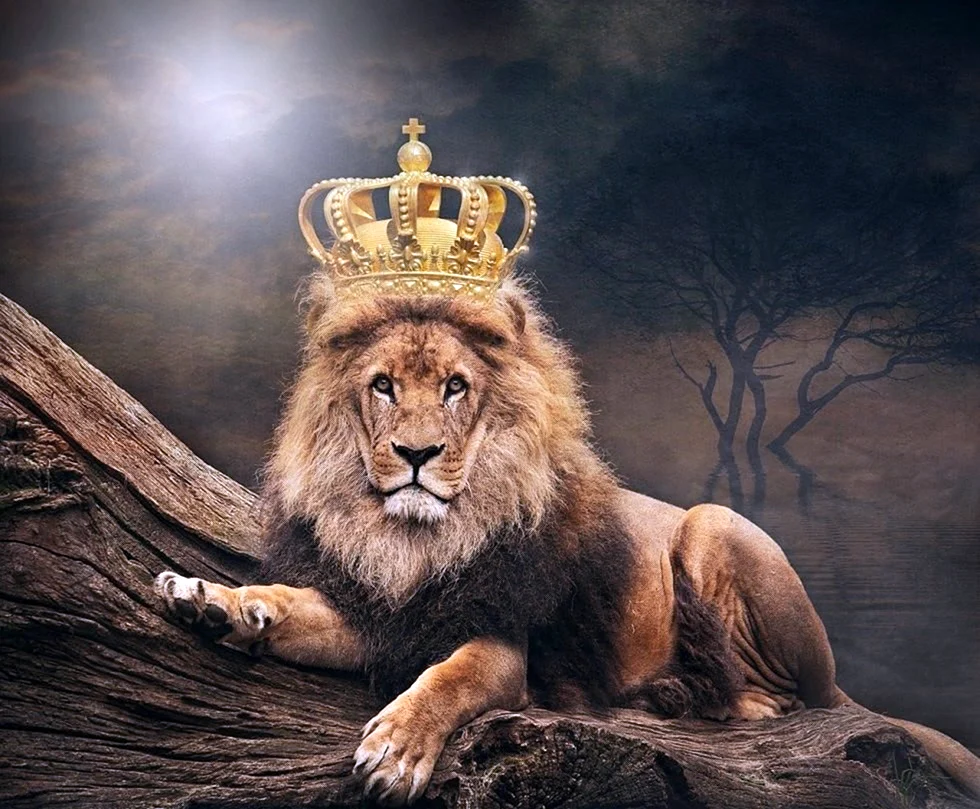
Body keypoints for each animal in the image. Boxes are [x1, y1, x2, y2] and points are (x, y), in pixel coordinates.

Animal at [156, 278, 980, 805]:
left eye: (456, 386)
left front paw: (396, 750)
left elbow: (449, 679)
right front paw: (214, 599)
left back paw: (698, 699)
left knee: (789, 701)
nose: (417, 454)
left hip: (714, 522)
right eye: (383, 385)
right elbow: (293, 602)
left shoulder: (501, 643)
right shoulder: (386, 615)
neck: (415, 540)